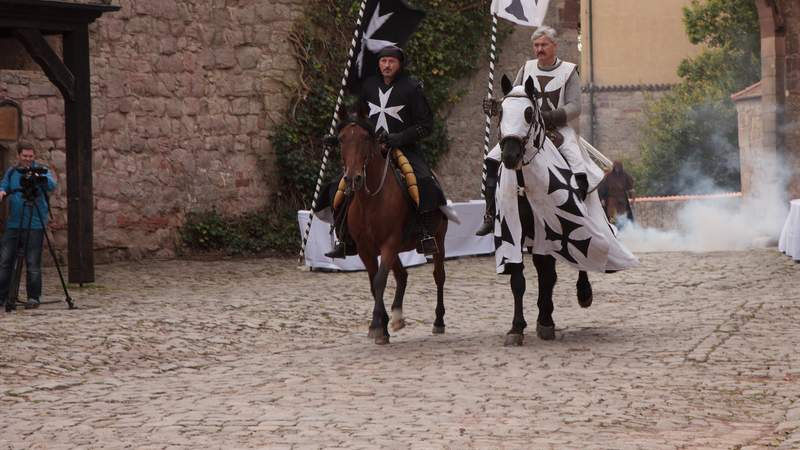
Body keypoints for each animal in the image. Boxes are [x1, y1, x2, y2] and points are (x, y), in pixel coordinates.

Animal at [332, 112, 450, 344]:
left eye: (365, 138)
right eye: (341, 139)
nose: (353, 179)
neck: (370, 201)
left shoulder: (389, 243)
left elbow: (379, 281)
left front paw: (376, 326)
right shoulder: (366, 249)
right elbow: (373, 282)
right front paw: (382, 325)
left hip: (438, 240)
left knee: (438, 276)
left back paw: (439, 321)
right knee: (402, 275)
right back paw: (396, 316)